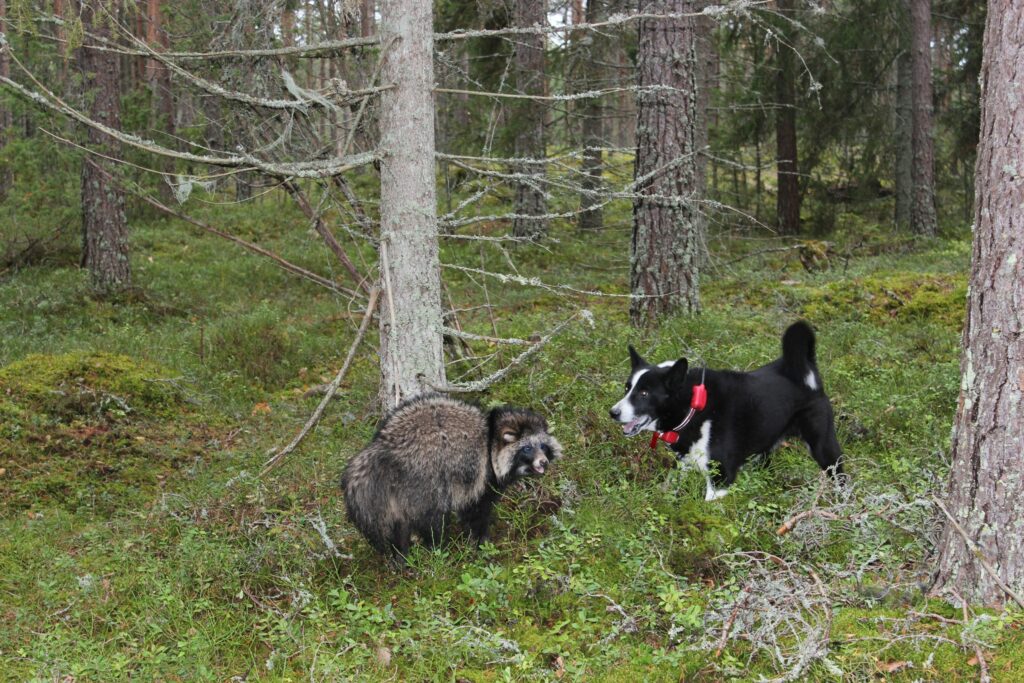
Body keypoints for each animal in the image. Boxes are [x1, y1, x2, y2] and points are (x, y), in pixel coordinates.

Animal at [342, 393, 561, 565]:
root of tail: (385, 449)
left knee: (399, 523)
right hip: (425, 480)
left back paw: (401, 555)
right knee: (431, 519)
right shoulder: (480, 475)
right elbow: (475, 511)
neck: (491, 437)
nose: (543, 462)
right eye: (527, 448)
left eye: (542, 446)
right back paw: (437, 547)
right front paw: (481, 541)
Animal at [606, 321, 839, 501]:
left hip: (824, 450)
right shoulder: (684, 465)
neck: (694, 407)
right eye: (627, 388)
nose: (613, 412)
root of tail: (804, 366)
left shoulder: (720, 479)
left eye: (644, 393)